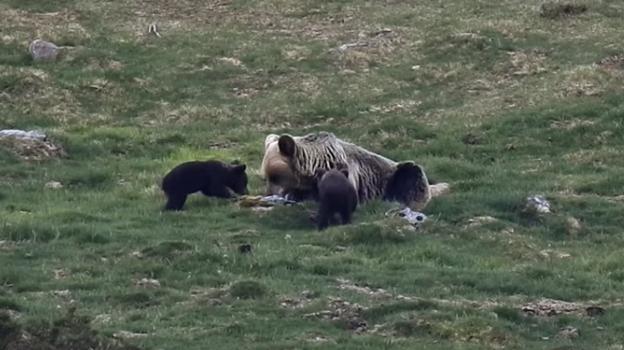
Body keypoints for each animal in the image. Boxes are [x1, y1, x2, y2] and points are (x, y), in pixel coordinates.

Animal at [260, 131, 448, 208]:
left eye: (275, 176)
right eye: (265, 177)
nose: (268, 193)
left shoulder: (346, 173)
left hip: (395, 176)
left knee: (411, 174)